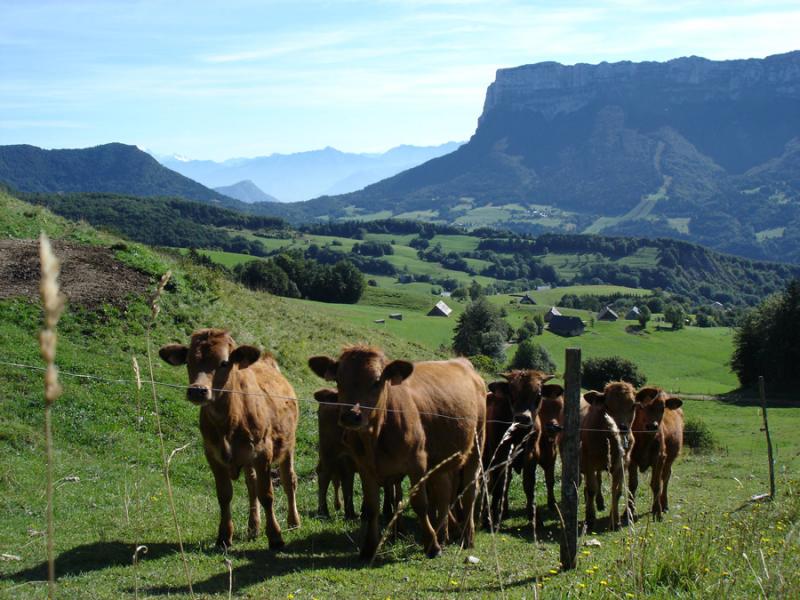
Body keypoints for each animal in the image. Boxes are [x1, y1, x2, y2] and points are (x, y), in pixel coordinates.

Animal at [159, 329, 300, 550]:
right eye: (188, 361)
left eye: (224, 362)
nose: (197, 390)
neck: (229, 419)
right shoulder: (213, 455)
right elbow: (225, 495)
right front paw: (224, 536)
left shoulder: (263, 452)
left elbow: (267, 494)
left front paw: (275, 536)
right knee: (251, 485)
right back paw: (253, 527)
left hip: (288, 446)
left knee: (289, 481)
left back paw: (293, 522)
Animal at [309, 346, 486, 560]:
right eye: (339, 380)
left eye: (377, 381)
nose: (351, 415)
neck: (375, 437)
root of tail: (462, 362)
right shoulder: (365, 467)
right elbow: (371, 507)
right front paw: (369, 548)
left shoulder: (417, 463)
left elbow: (420, 503)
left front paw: (432, 546)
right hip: (441, 461)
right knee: (444, 493)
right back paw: (445, 534)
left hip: (476, 446)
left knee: (469, 492)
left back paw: (467, 537)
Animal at [482, 370, 555, 528]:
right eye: (511, 394)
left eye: (538, 395)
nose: (522, 418)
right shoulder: (500, 454)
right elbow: (498, 486)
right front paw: (491, 518)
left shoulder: (531, 455)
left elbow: (529, 485)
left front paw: (535, 518)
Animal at [580, 381, 637, 531]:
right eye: (607, 406)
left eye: (633, 405)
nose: (622, 427)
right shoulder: (588, 462)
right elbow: (591, 489)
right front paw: (590, 518)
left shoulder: (622, 464)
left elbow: (617, 492)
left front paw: (615, 521)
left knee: (599, 479)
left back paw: (600, 502)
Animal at [627, 387, 683, 521]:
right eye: (640, 406)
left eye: (662, 407)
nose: (652, 426)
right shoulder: (631, 460)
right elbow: (632, 485)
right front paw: (629, 511)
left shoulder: (659, 459)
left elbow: (656, 485)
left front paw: (657, 511)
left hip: (669, 459)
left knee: (665, 477)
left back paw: (664, 505)